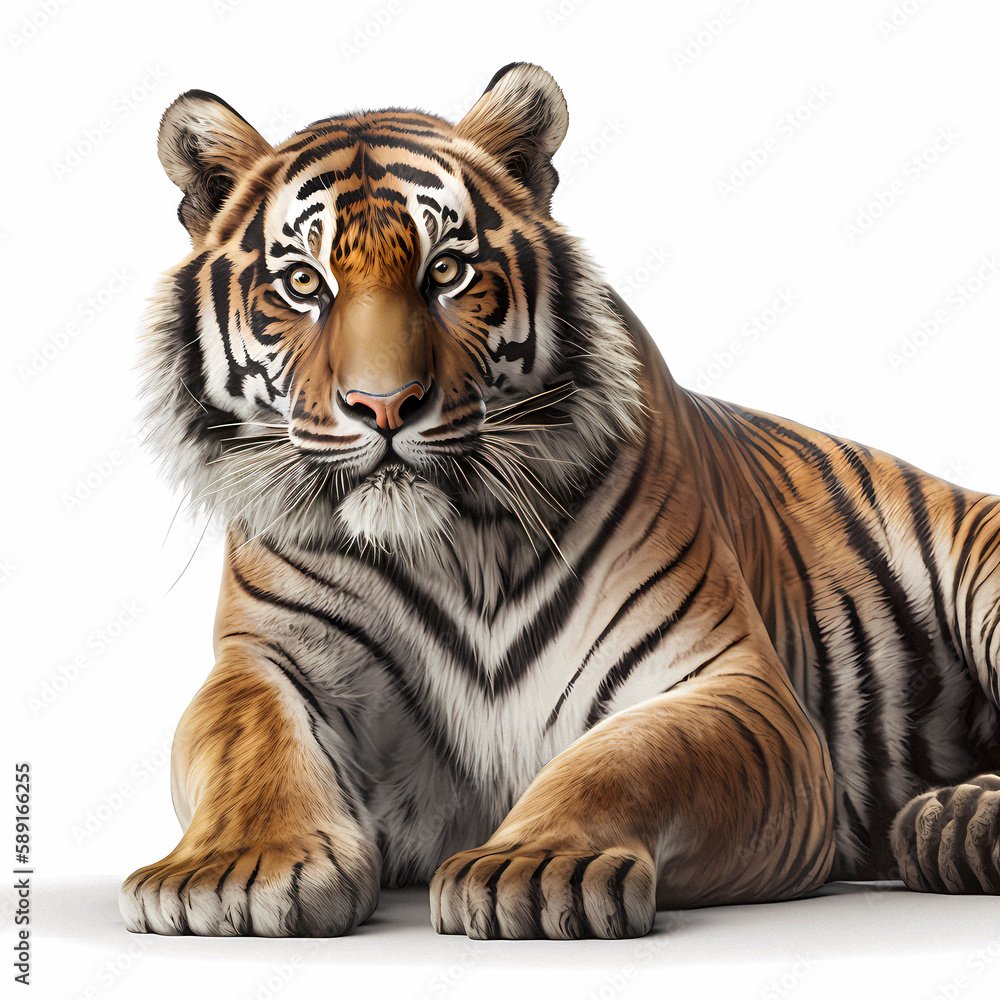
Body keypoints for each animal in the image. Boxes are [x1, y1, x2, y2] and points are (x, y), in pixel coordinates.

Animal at [120, 63, 1000, 940]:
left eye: (446, 273)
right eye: (304, 283)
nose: (385, 405)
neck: (453, 548)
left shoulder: (727, 682)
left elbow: (625, 760)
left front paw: (537, 866)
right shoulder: (269, 656)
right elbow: (249, 739)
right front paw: (236, 870)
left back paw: (959, 821)